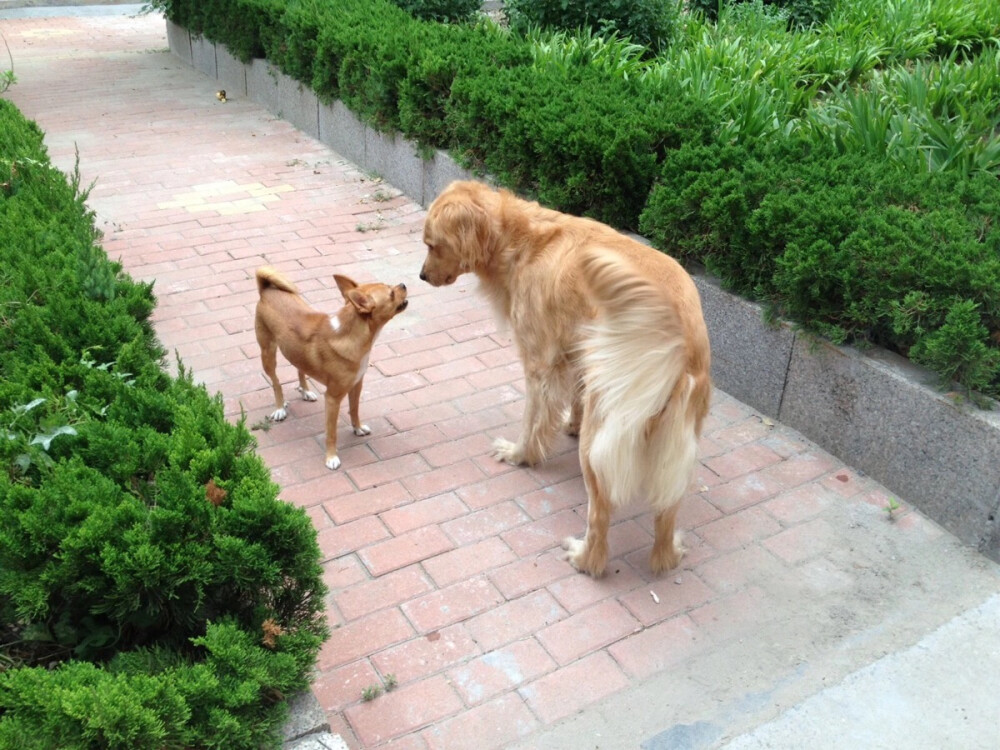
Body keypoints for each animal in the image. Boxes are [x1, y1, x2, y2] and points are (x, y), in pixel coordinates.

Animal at [254, 268, 406, 470]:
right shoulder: (333, 399)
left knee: (300, 368)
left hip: (295, 351)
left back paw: (305, 391)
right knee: (276, 383)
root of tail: (266, 290)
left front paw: (357, 428)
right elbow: (331, 432)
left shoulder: (356, 385)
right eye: (391, 294)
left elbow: (354, 410)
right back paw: (280, 407)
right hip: (268, 353)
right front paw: (331, 457)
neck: (351, 334)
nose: (403, 284)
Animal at [420, 184, 712, 580]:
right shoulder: (575, 351)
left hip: (598, 441)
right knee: (666, 512)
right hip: (677, 440)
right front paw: (569, 423)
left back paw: (584, 558)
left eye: (432, 245)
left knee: (600, 518)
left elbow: (532, 421)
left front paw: (520, 454)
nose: (421, 276)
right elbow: (574, 394)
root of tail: (677, 334)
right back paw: (669, 554)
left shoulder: (539, 364)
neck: (520, 239)